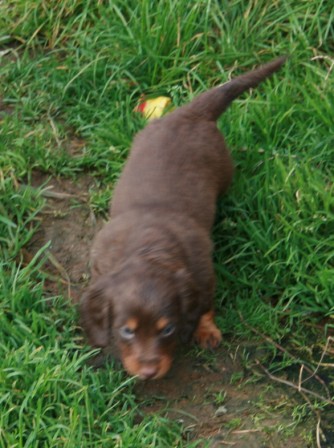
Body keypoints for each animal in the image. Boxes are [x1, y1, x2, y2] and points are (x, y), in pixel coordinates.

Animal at [79, 56, 286, 378]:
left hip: (225, 169)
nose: (149, 372)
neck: (146, 247)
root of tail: (189, 114)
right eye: (126, 331)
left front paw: (206, 332)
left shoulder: (204, 277)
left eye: (168, 330)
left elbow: (205, 307)